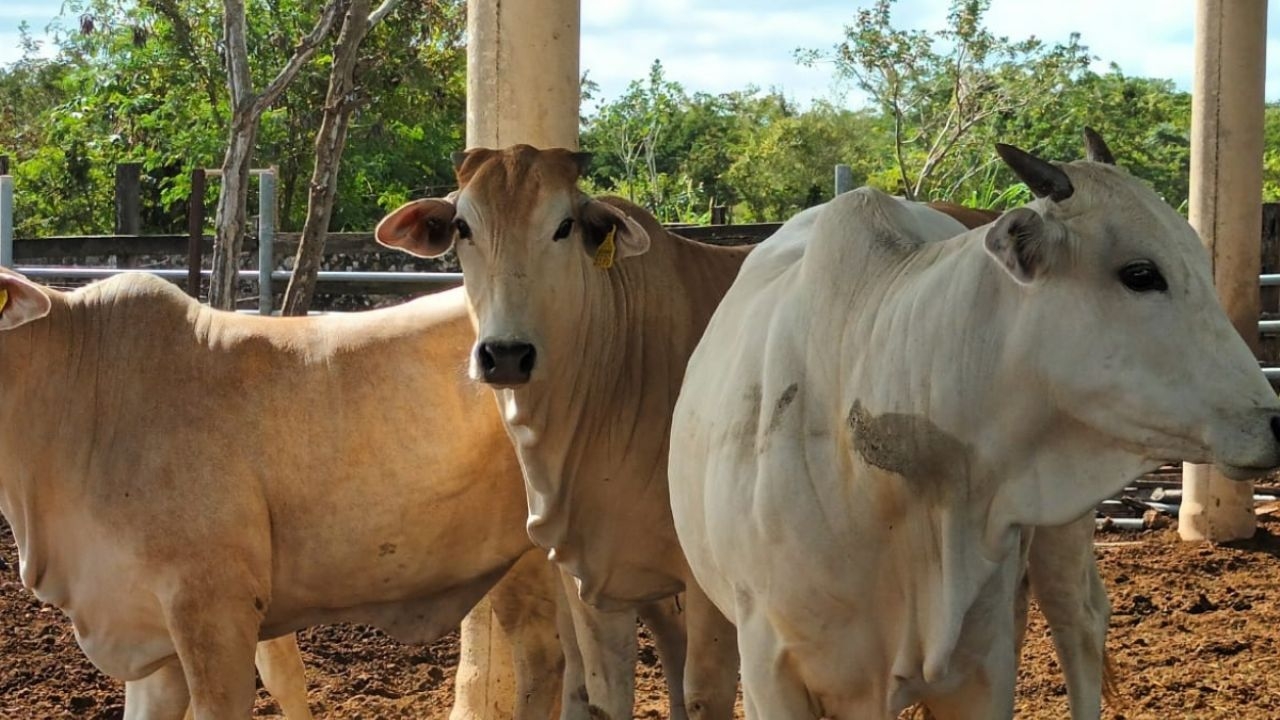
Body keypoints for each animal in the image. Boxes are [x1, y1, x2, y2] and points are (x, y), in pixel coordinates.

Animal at [670, 131, 1280, 712]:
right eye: (1140, 273)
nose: (1275, 422)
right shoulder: (770, 670)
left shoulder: (980, 668)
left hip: (1063, 539)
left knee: (1080, 623)